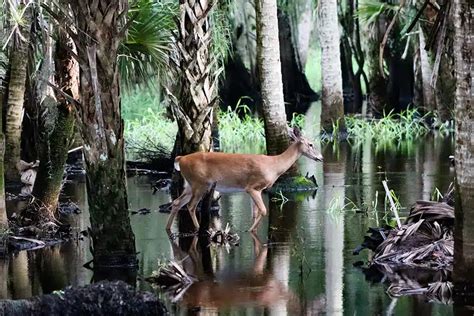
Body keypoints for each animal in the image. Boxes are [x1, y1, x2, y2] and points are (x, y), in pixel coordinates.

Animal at [165, 126, 324, 232]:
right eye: (311, 144)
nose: (321, 157)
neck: (274, 165)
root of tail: (181, 159)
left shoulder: (254, 190)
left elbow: (255, 213)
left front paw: (252, 230)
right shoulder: (253, 187)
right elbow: (263, 210)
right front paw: (249, 230)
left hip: (190, 185)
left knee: (177, 202)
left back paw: (168, 229)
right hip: (200, 183)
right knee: (190, 206)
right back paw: (200, 229)